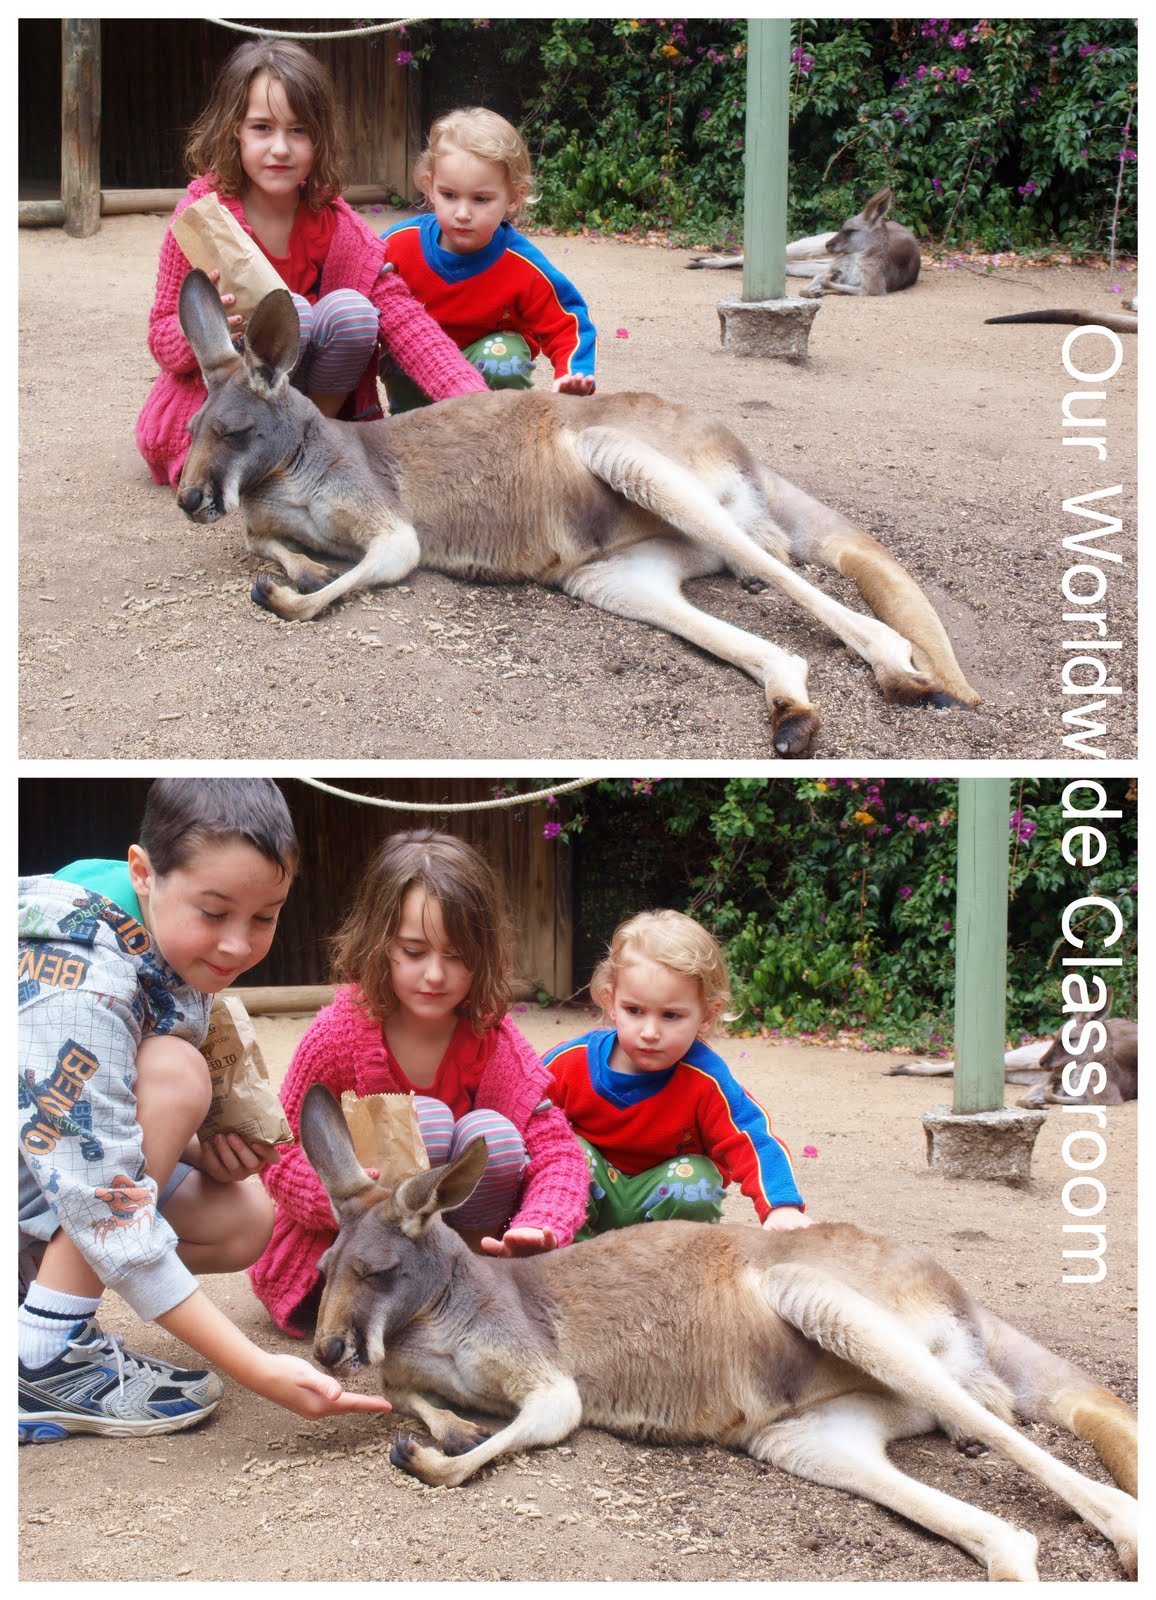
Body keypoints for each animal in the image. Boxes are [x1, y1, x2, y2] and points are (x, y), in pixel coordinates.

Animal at [174, 268, 978, 757]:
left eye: (234, 432)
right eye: (193, 432)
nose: (187, 500)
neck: (285, 469)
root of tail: (744, 453)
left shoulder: (386, 520)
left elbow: (372, 565)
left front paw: (289, 595)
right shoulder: (263, 519)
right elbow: (267, 546)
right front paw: (296, 570)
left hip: (624, 452)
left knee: (781, 565)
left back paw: (896, 669)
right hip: (610, 573)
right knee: (777, 638)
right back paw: (793, 720)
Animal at [299, 1083, 1137, 1582]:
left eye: (375, 1271)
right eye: (326, 1269)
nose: (326, 1352)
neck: (436, 1311)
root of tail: (964, 1302)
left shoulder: (538, 1367)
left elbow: (539, 1421)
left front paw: (434, 1458)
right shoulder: (408, 1365)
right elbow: (405, 1394)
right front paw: (445, 1429)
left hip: (821, 1295)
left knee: (1000, 1423)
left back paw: (1125, 1534)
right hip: (799, 1433)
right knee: (1008, 1529)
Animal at [689, 186, 921, 298]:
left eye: (851, 230)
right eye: (843, 227)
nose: (829, 244)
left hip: (817, 260)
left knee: (788, 266)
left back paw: (704, 261)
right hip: (810, 246)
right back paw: (703, 261)